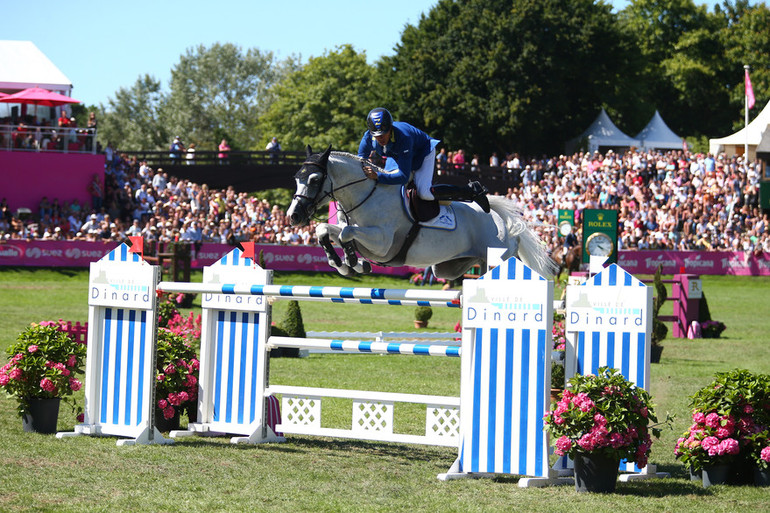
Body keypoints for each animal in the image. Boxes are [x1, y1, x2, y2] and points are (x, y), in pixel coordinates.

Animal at [284, 144, 556, 280]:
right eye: (296, 178)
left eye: (315, 179)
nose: (293, 216)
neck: (365, 194)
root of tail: (509, 229)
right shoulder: (353, 230)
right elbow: (325, 230)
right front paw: (341, 263)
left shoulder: (382, 243)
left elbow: (346, 233)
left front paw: (353, 262)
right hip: (449, 267)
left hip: (495, 257)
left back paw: (479, 193)